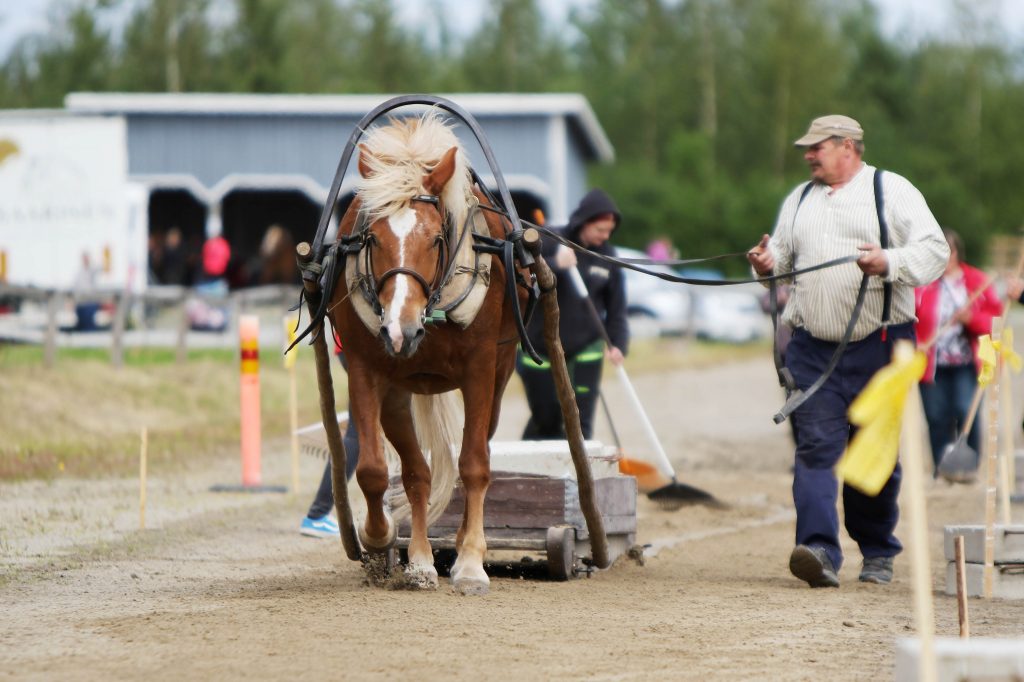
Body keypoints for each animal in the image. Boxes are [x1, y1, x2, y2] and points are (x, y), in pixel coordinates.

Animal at [327, 114, 528, 593]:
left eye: (436, 238)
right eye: (372, 238)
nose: (401, 329)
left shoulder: (480, 370)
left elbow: (474, 465)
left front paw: (471, 562)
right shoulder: (365, 370)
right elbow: (373, 470)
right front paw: (378, 538)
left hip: (499, 376)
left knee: (476, 452)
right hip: (398, 393)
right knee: (417, 472)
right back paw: (419, 560)